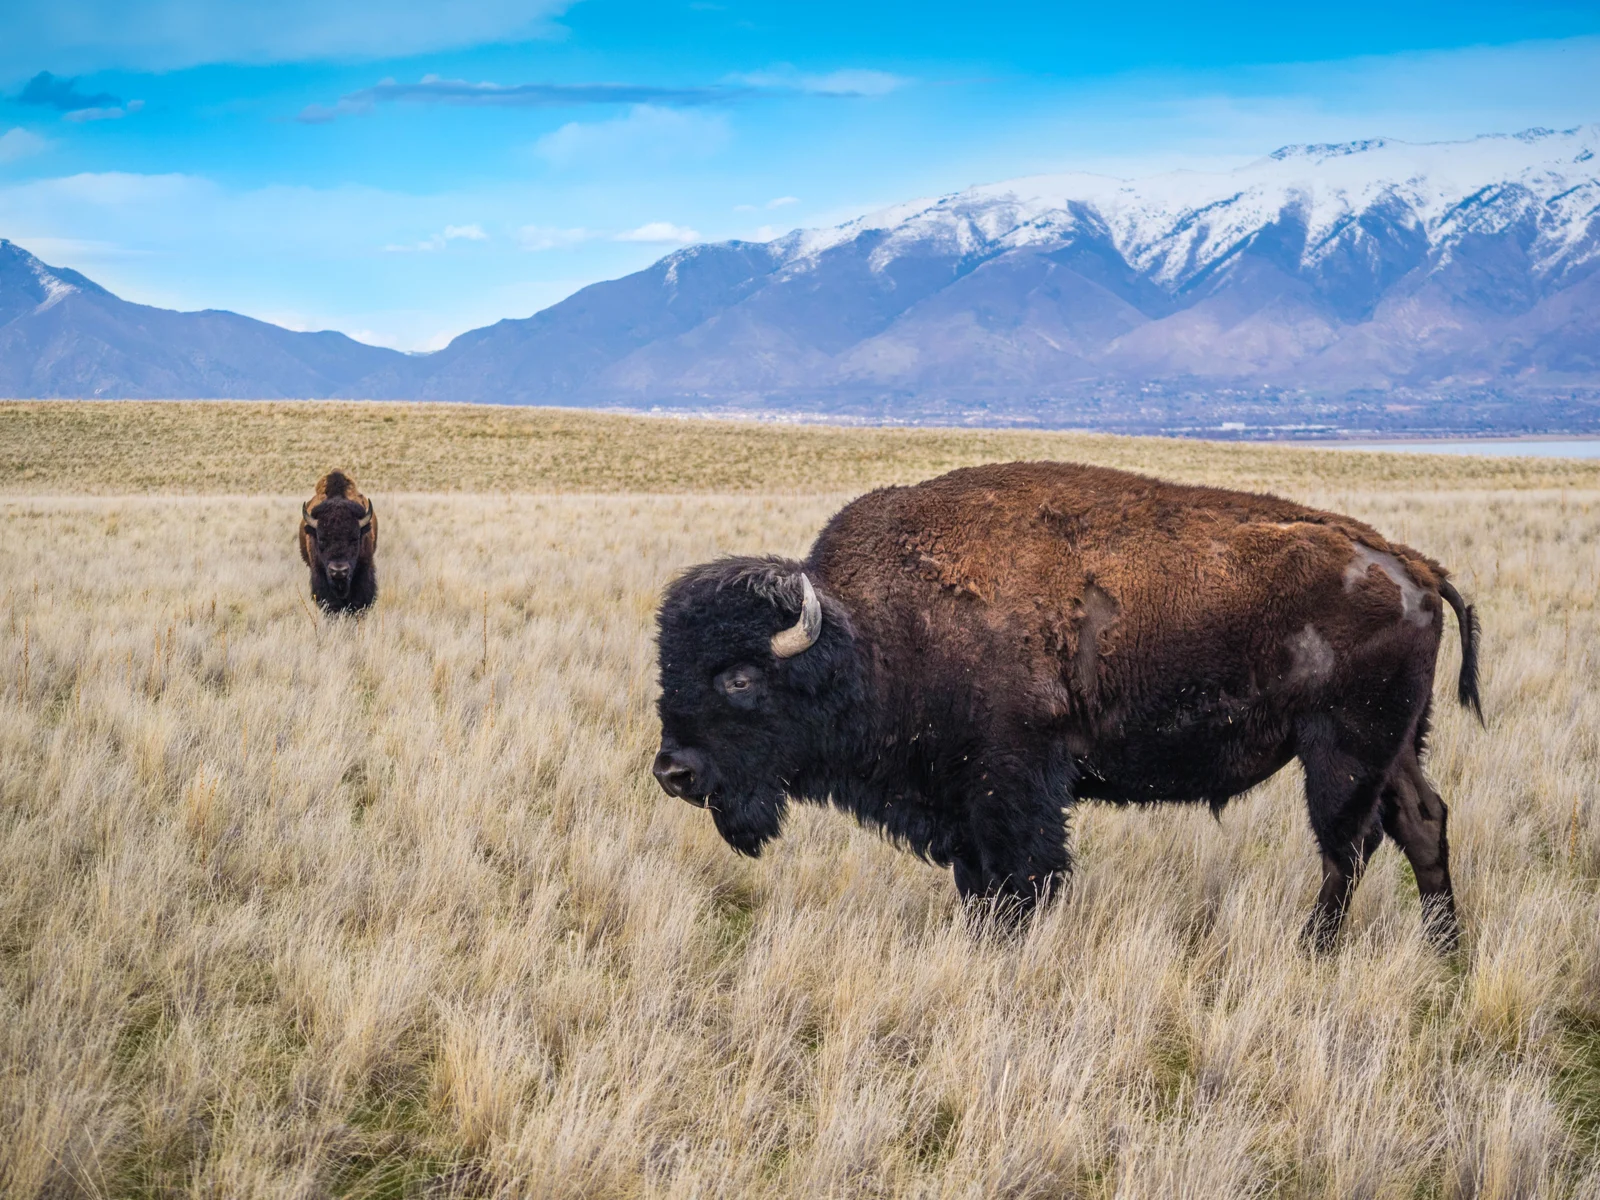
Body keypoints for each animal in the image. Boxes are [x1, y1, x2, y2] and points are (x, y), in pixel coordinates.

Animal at [656, 460, 1478, 947]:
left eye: (738, 678)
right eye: (670, 670)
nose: (673, 773)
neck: (869, 635)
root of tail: (1414, 565)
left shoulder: (1011, 786)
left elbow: (1022, 878)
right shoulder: (963, 806)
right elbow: (977, 885)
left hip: (1341, 748)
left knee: (1348, 845)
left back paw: (1315, 949)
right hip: (1398, 743)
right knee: (1420, 821)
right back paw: (1445, 948)